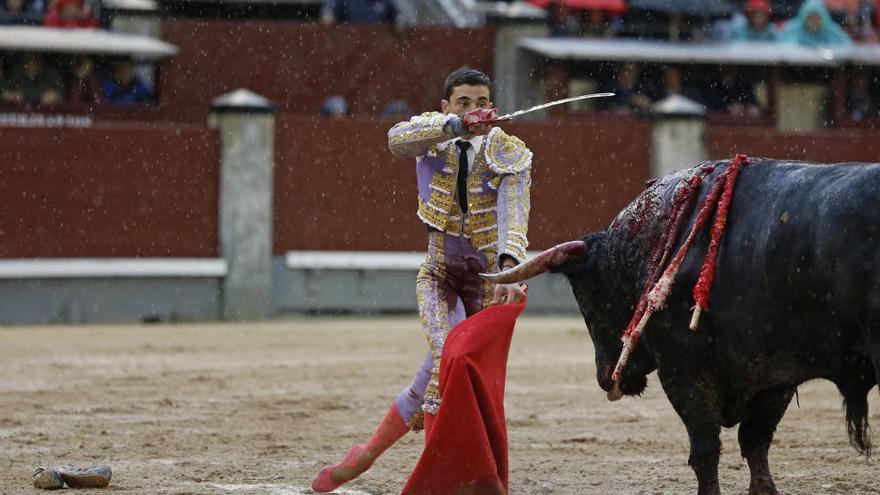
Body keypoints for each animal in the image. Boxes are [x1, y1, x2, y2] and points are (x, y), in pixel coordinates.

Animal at [488, 159, 880, 495]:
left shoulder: (684, 369)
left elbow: (706, 449)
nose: (605, 378)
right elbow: (755, 444)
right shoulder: (776, 375)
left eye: (586, 298)